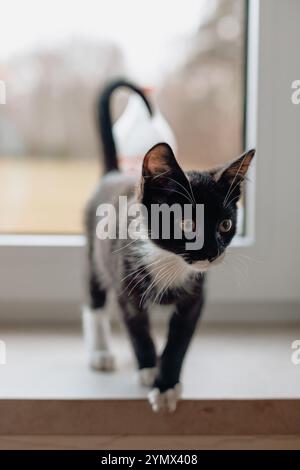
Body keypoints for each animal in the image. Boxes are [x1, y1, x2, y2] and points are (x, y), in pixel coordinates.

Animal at [82, 79, 255, 414]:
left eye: (225, 226)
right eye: (187, 224)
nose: (212, 254)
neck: (168, 260)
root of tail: (112, 174)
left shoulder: (196, 295)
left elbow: (179, 339)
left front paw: (168, 382)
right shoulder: (126, 286)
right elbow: (138, 331)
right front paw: (150, 369)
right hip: (94, 252)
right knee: (94, 297)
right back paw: (100, 351)